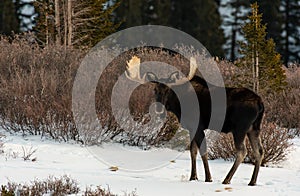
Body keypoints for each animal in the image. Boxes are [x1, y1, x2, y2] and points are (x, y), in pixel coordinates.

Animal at [124, 54, 264, 185]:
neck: (178, 105)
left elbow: (203, 151)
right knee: (259, 151)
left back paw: (227, 179)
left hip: (240, 128)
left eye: (169, 90)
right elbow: (193, 151)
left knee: (242, 151)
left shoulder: (198, 126)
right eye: (155, 90)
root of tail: (260, 103)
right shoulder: (191, 128)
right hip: (254, 129)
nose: (159, 109)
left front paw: (208, 178)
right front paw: (193, 177)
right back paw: (252, 181)